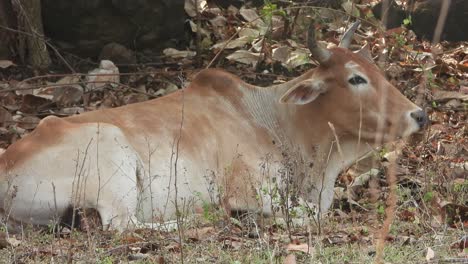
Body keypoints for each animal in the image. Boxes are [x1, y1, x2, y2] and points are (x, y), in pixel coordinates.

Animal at [0, 21, 428, 231]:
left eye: (377, 72)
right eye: (356, 78)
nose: (418, 115)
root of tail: (6, 164)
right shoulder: (252, 191)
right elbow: (304, 213)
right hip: (113, 156)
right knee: (122, 225)